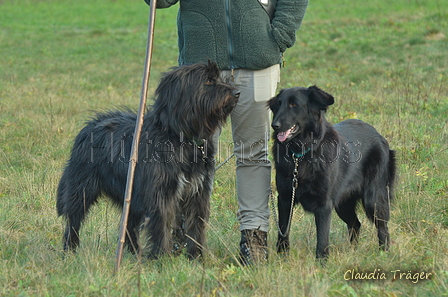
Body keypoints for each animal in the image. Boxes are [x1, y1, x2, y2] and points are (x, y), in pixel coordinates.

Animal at [57, 61, 240, 258]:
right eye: (208, 80)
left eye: (219, 78)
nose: (237, 92)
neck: (180, 137)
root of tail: (91, 124)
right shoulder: (160, 193)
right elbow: (162, 225)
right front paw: (163, 258)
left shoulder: (197, 192)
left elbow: (196, 226)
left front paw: (197, 257)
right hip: (82, 188)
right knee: (74, 219)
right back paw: (70, 249)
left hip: (131, 196)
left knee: (129, 226)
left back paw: (134, 254)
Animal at [268, 86, 394, 260]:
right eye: (278, 105)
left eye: (294, 104)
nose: (274, 125)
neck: (301, 155)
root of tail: (379, 135)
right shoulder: (286, 199)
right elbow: (283, 231)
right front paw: (283, 258)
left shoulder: (324, 205)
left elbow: (322, 238)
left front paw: (321, 262)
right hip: (343, 203)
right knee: (355, 223)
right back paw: (353, 251)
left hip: (373, 198)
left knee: (383, 227)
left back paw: (384, 254)